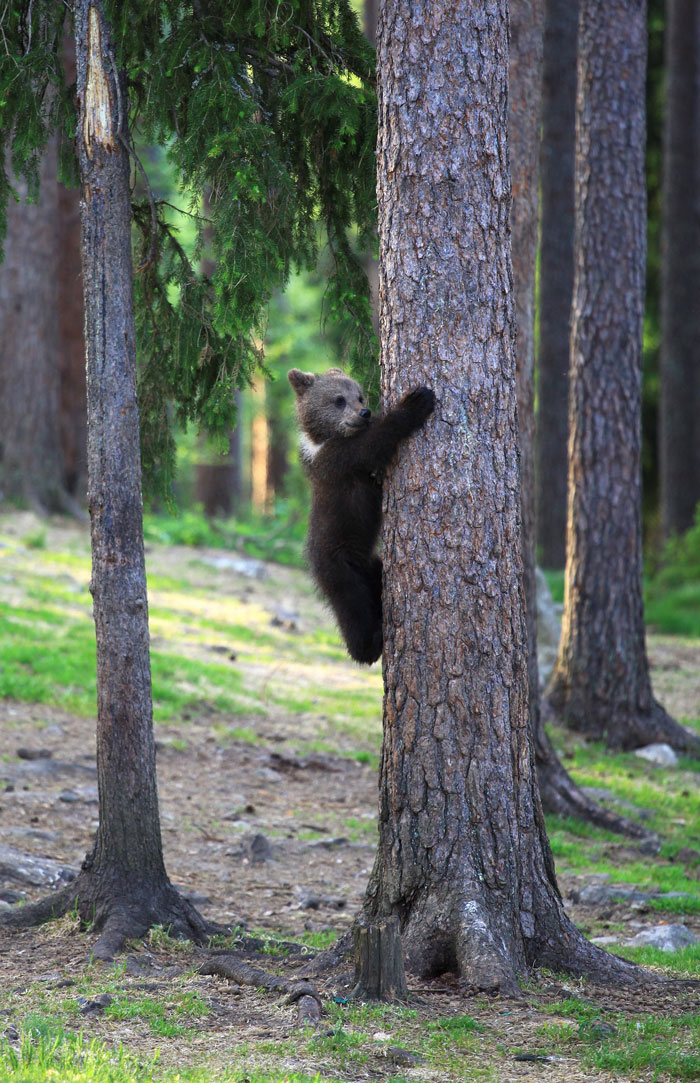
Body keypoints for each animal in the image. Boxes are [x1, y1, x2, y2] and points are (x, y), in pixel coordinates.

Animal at [288, 366, 435, 664]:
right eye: (338, 400)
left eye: (359, 396)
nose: (364, 412)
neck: (324, 440)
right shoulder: (340, 460)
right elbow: (375, 441)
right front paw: (417, 401)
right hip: (338, 565)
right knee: (352, 607)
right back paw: (370, 644)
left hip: (370, 564)